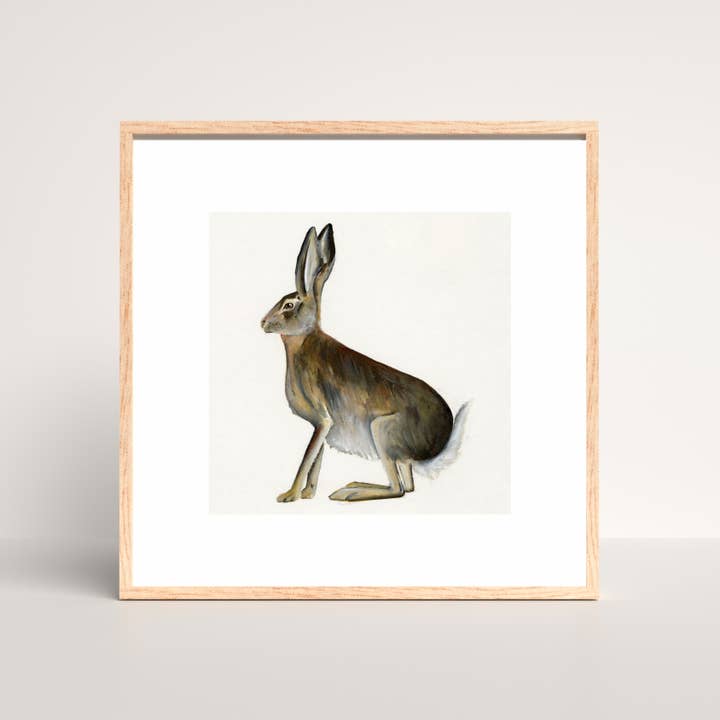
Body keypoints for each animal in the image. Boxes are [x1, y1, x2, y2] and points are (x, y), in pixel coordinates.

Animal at [261, 223, 470, 502]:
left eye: (289, 305)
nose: (262, 323)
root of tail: (438, 444)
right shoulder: (322, 424)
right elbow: (317, 459)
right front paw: (308, 494)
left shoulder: (323, 419)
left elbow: (307, 457)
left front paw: (289, 495)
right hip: (393, 449)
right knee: (408, 485)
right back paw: (352, 486)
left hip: (382, 431)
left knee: (398, 489)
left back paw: (349, 493)